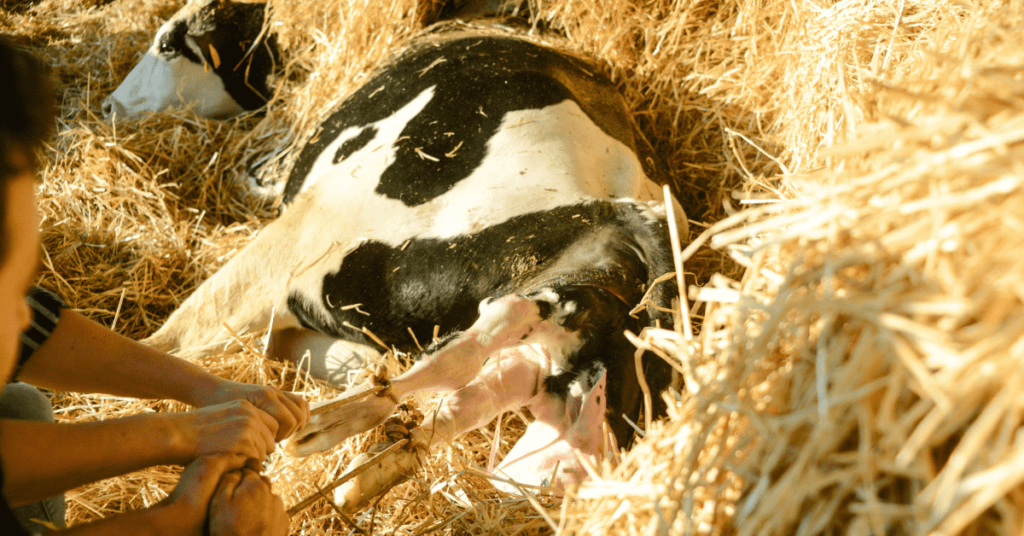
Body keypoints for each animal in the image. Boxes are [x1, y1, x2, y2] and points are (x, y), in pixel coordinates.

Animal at [123, 0, 688, 510]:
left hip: (337, 243)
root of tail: (642, 208)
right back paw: (378, 458)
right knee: (488, 379)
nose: (111, 106)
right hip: (565, 336)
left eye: (169, 42)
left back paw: (333, 426)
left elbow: (170, 343)